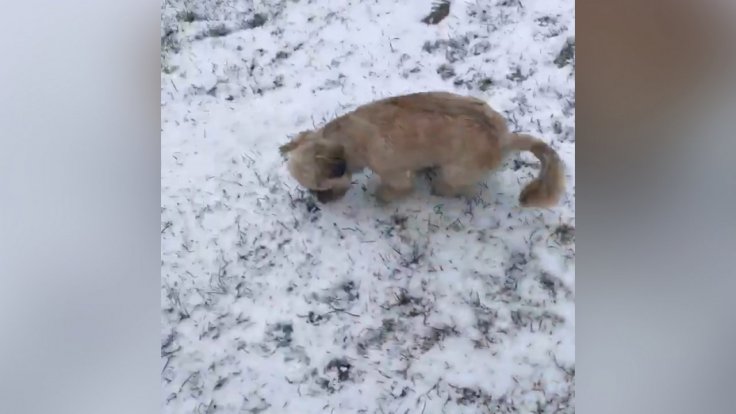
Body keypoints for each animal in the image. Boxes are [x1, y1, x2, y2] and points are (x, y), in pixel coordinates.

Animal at [278, 91, 568, 206]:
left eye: (320, 188)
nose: (320, 202)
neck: (350, 137)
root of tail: (505, 138)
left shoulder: (394, 174)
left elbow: (393, 189)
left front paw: (380, 196)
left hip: (455, 171)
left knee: (454, 185)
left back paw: (441, 188)